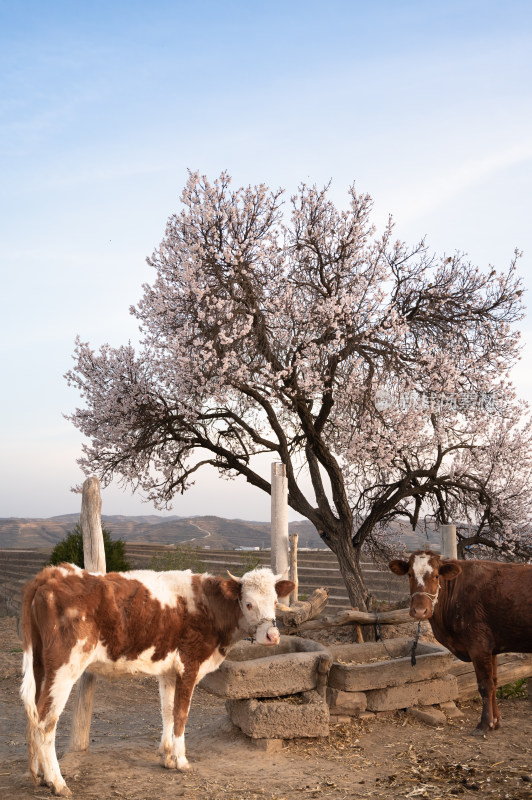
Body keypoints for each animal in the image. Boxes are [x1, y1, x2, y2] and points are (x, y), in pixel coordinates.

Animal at [19, 564, 296, 796]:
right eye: (248, 604)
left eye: (275, 601)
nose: (272, 636)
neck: (208, 607)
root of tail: (52, 573)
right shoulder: (189, 665)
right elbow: (181, 714)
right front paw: (182, 761)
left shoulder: (168, 671)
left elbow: (167, 711)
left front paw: (166, 757)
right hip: (65, 667)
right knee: (45, 722)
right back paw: (57, 783)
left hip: (40, 666)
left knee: (33, 717)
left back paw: (41, 776)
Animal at [386, 552, 532, 736]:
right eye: (410, 575)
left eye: (436, 575)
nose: (419, 611)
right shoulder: (491, 648)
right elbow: (494, 682)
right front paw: (496, 722)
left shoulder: (478, 645)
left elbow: (485, 685)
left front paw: (484, 724)